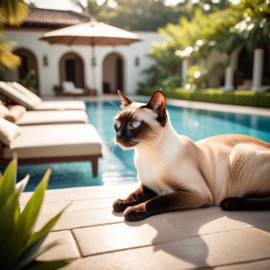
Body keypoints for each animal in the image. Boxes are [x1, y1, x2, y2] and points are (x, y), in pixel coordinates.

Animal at [112, 90, 270, 221]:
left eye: (134, 124)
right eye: (118, 123)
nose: (118, 136)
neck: (147, 153)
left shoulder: (195, 192)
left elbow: (157, 201)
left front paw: (133, 211)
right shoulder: (149, 186)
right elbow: (133, 195)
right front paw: (121, 203)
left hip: (239, 153)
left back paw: (230, 203)